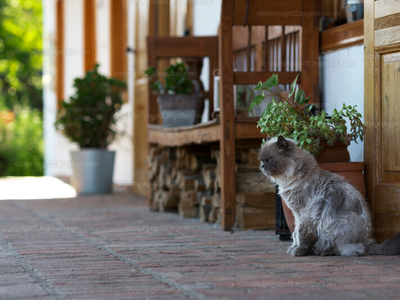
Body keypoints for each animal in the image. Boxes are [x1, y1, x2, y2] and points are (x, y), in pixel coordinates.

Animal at [260, 136, 400, 255]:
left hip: (339, 224)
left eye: (268, 160)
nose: (261, 166)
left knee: (349, 248)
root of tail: (368, 240)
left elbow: (300, 234)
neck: (289, 178)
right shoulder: (296, 214)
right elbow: (295, 234)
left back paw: (317, 250)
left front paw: (298, 251)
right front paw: (293, 248)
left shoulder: (304, 214)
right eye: (261, 160)